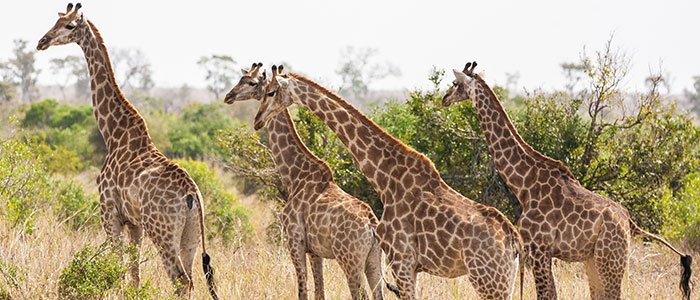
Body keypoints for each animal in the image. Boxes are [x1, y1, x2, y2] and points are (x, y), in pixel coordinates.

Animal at [37, 3, 219, 298]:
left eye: (69, 25)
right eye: (56, 20)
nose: (42, 41)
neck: (113, 133)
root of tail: (192, 195)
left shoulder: (109, 213)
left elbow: (117, 270)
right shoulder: (134, 223)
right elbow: (134, 275)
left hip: (162, 231)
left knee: (180, 280)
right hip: (190, 235)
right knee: (191, 279)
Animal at [226, 62, 400, 298]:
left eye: (252, 82)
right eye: (240, 78)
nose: (229, 96)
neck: (295, 176)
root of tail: (372, 225)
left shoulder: (295, 242)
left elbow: (303, 290)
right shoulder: (315, 251)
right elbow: (320, 291)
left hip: (350, 260)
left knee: (361, 294)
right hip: (374, 259)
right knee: (378, 293)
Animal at [253, 65, 524, 300]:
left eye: (271, 91)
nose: (257, 120)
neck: (386, 180)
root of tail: (514, 241)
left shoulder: (401, 261)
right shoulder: (403, 265)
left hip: (487, 279)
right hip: (504, 280)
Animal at [440, 61, 692, 300]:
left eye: (455, 83)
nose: (444, 99)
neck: (524, 185)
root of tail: (630, 224)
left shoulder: (538, 248)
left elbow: (545, 294)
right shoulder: (543, 251)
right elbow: (552, 293)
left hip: (610, 259)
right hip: (594, 260)